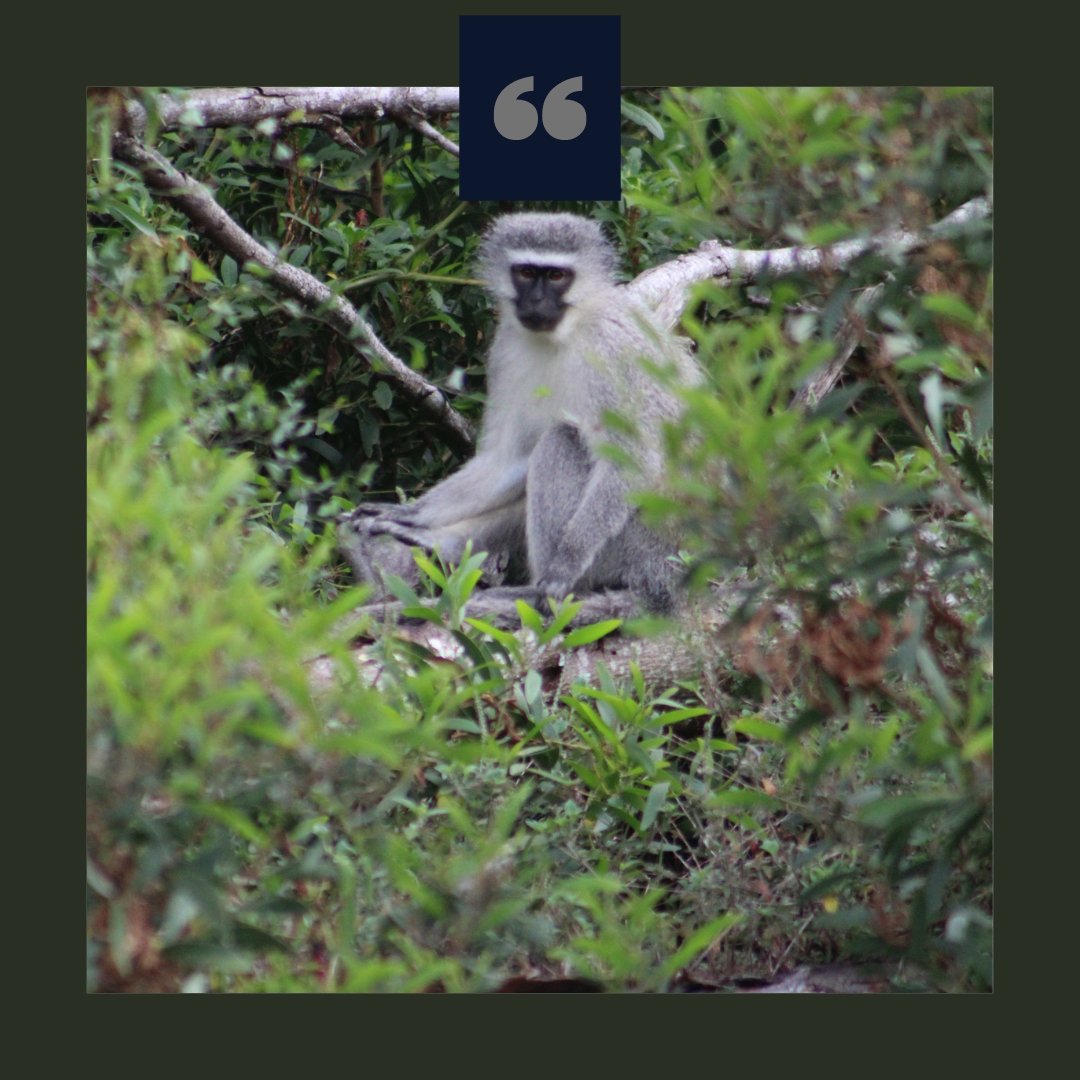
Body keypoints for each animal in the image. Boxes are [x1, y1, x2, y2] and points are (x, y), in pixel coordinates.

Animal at [340, 212, 702, 613]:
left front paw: (563, 566)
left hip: (632, 547)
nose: (537, 300)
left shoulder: (611, 350)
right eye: (526, 273)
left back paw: (534, 593)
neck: (566, 332)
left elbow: (631, 458)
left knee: (562, 439)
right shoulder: (506, 345)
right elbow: (507, 458)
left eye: (557, 276)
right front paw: (409, 514)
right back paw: (439, 543)